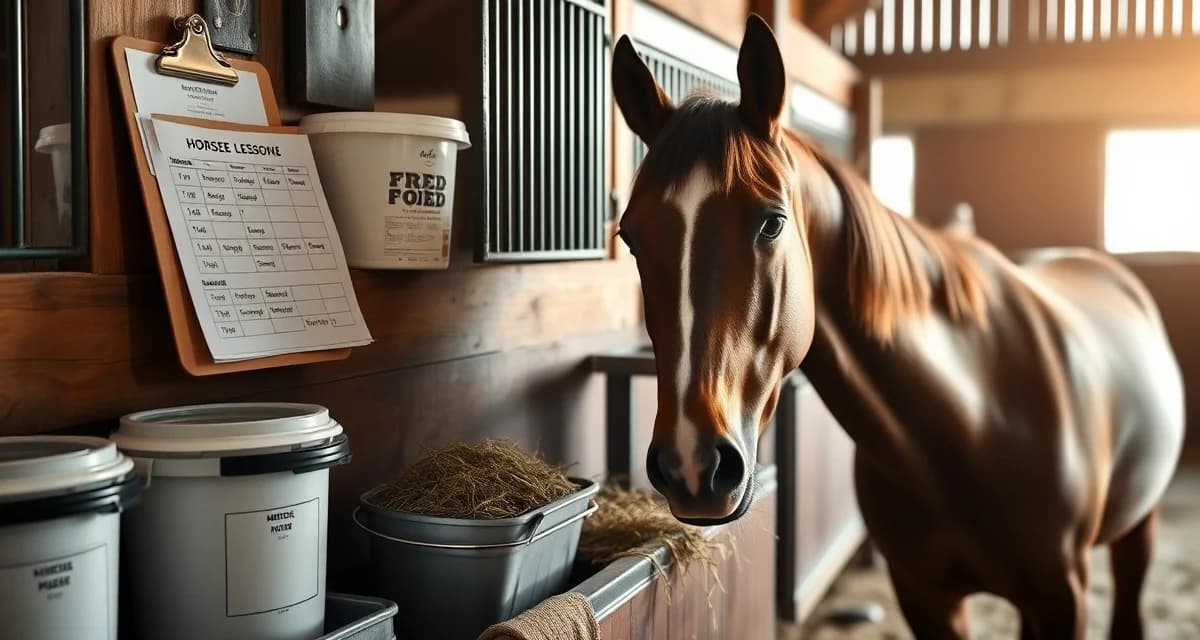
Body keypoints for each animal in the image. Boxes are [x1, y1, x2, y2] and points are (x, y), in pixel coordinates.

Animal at [611, 15, 1185, 640]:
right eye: (631, 237)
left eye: (772, 223)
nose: (692, 465)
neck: (975, 419)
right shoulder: (924, 596)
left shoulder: (1060, 598)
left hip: (1139, 525)